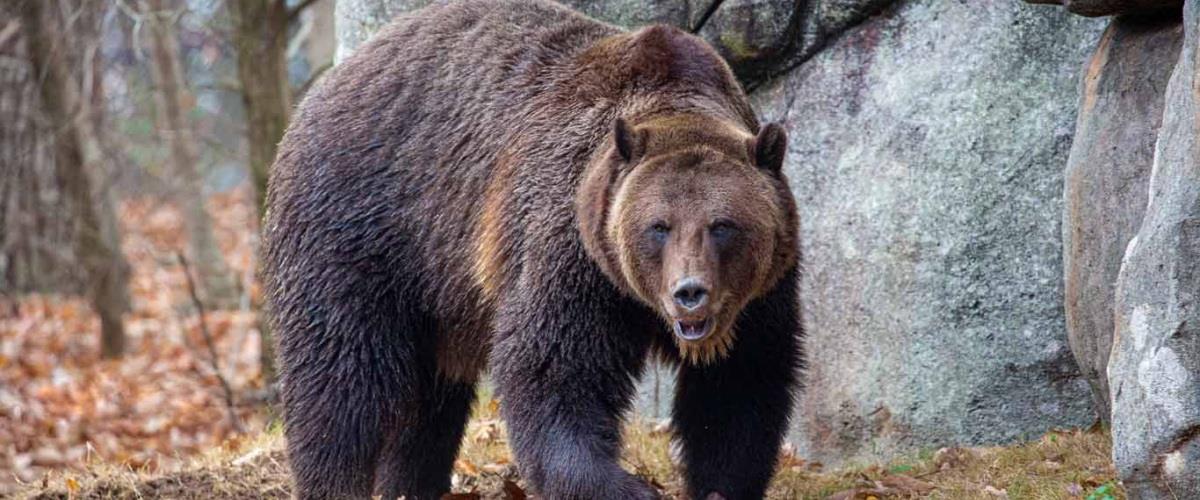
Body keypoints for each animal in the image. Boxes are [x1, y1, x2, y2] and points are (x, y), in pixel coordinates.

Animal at [262, 0, 803, 499]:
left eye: (722, 225)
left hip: (440, 292)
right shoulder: (569, 249)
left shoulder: (760, 296)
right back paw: (335, 479)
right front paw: (625, 487)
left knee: (429, 400)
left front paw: (719, 484)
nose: (690, 293)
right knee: (342, 375)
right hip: (363, 224)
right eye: (659, 227)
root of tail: (327, 84)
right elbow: (552, 372)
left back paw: (409, 483)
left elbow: (741, 388)